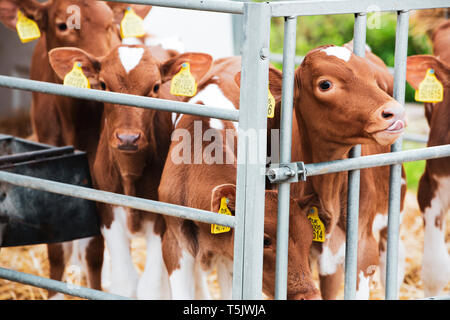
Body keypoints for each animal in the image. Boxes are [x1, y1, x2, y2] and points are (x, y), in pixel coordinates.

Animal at [49, 43, 213, 298]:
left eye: (155, 86)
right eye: (103, 85)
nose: (128, 138)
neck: (130, 175)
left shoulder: (162, 218)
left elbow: (151, 287)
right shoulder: (108, 211)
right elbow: (124, 282)